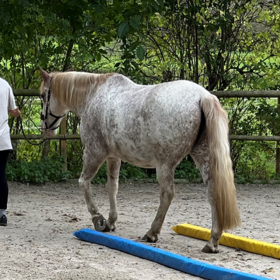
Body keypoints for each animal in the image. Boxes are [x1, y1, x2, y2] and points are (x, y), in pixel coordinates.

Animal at [39, 66, 241, 253]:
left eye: (42, 95)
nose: (45, 129)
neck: (93, 95)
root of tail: (202, 96)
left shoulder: (94, 153)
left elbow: (83, 183)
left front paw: (99, 219)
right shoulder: (114, 157)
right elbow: (112, 187)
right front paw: (111, 221)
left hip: (165, 164)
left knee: (167, 194)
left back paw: (152, 233)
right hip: (203, 157)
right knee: (213, 193)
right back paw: (212, 242)